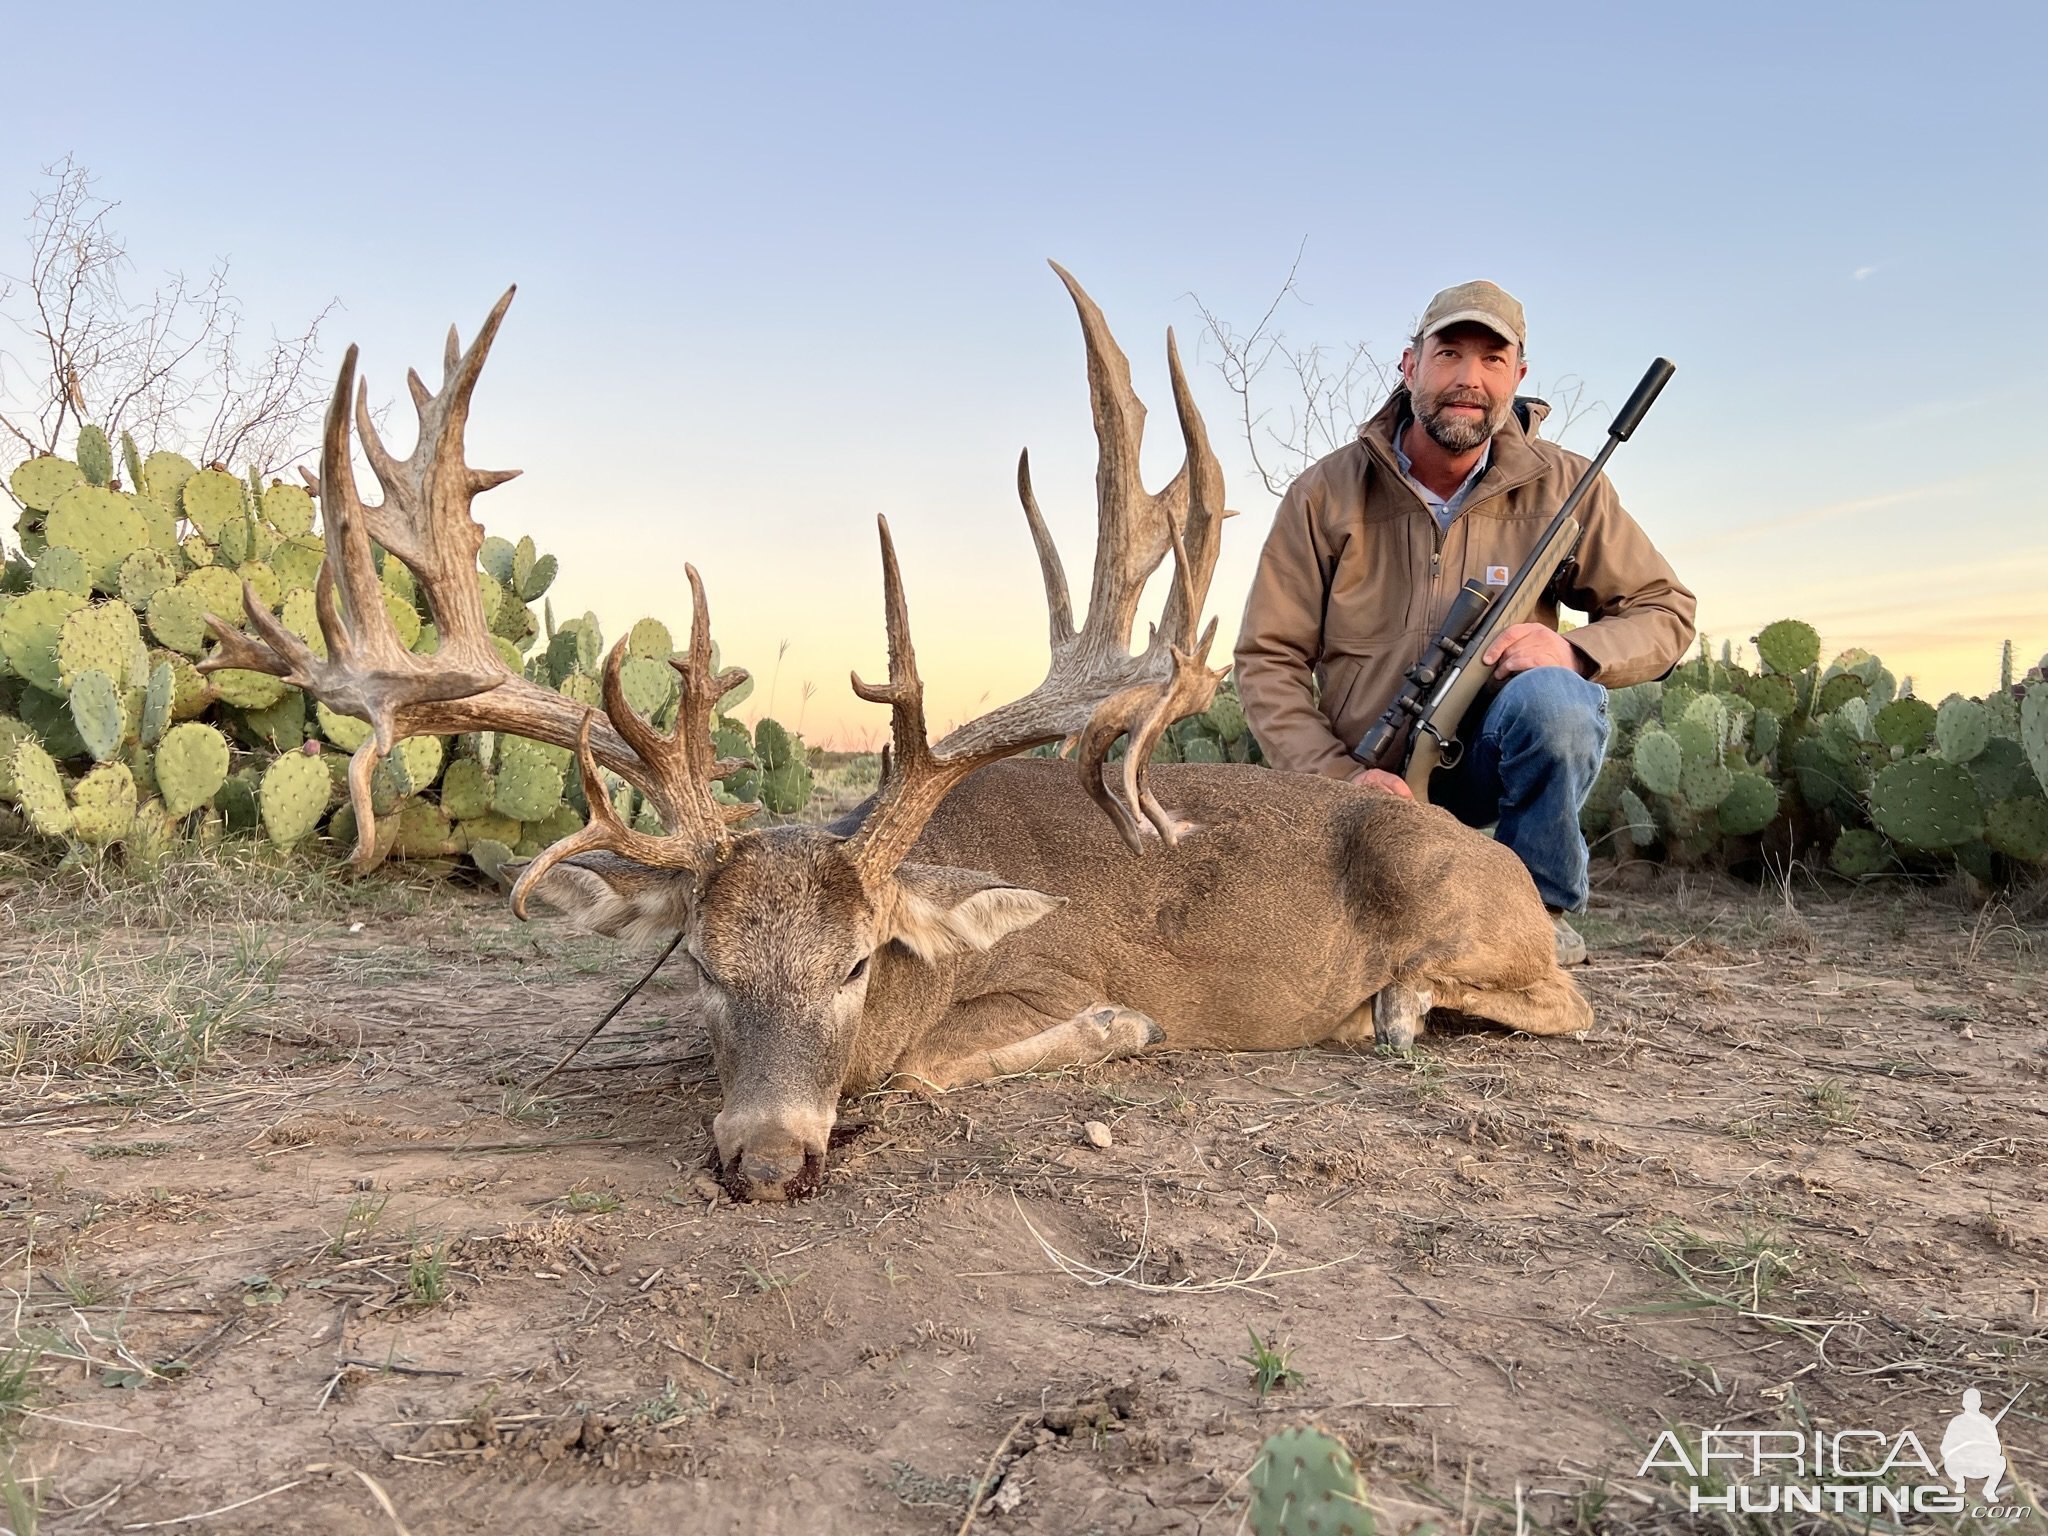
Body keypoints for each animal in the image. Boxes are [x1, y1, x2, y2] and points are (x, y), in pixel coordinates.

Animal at [203, 270, 1581, 1212]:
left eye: (860, 962)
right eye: (700, 965)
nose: (766, 1159)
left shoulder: (1050, 970)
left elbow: (945, 1062)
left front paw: (1116, 1035)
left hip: (1451, 890)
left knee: (1557, 993)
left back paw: (1390, 1011)